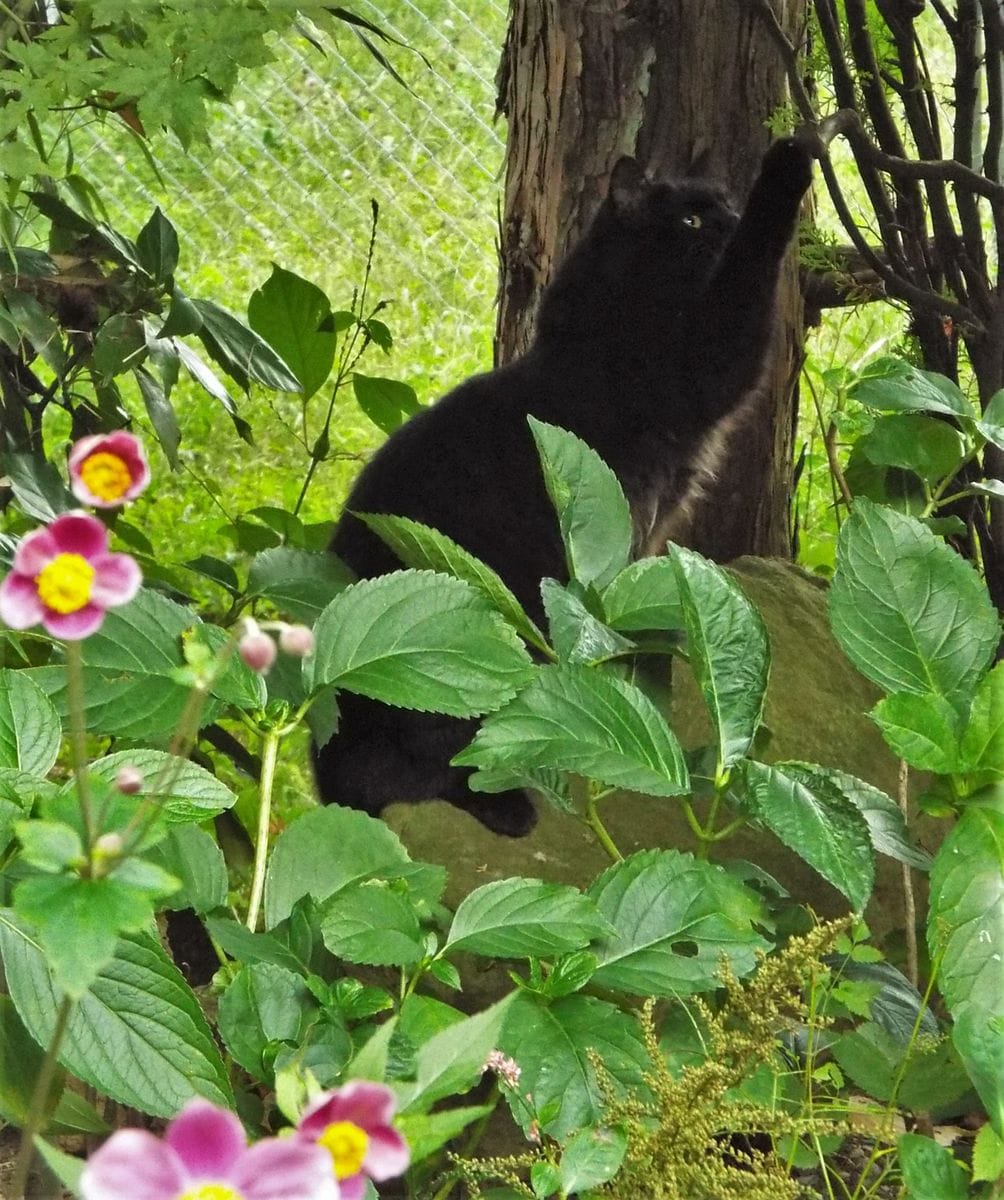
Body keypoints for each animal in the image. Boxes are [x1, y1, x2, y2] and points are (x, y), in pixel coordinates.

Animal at [314, 136, 815, 835]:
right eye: (691, 220)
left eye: (722, 205)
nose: (727, 219)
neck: (604, 318)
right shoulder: (709, 358)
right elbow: (752, 268)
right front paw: (791, 161)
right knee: (441, 769)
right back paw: (508, 807)